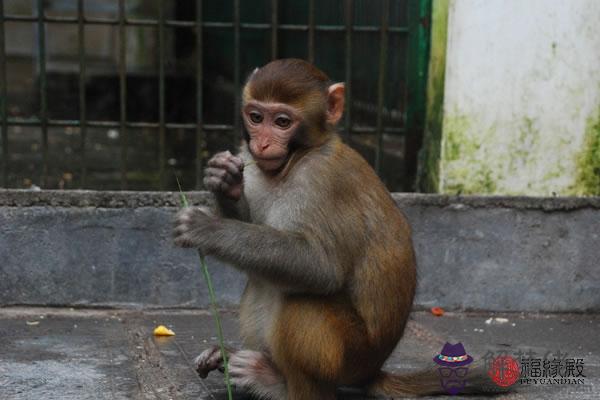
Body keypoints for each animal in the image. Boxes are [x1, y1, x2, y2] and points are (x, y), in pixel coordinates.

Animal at [173, 57, 492, 398]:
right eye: (256, 117)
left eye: (282, 122)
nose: (262, 143)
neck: (298, 159)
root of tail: (371, 370)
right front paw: (225, 181)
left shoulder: (323, 180)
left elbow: (321, 266)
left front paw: (206, 228)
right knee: (262, 277)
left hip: (347, 357)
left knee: (301, 303)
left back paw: (273, 381)